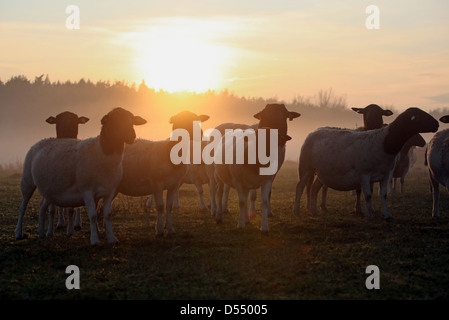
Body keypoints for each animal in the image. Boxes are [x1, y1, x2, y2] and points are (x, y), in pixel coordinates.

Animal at [14, 108, 145, 245]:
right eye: (115, 121)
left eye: (132, 120)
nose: (132, 136)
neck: (102, 152)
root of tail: (40, 141)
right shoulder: (86, 190)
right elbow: (93, 216)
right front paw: (95, 240)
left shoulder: (110, 191)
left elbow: (107, 215)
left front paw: (112, 238)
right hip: (27, 180)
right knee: (23, 206)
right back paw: (18, 233)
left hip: (49, 189)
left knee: (42, 206)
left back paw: (41, 233)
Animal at [212, 104, 300, 232]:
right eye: (264, 115)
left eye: (285, 115)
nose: (281, 138)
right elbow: (250, 196)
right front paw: (250, 214)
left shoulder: (272, 175)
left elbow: (266, 195)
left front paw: (267, 214)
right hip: (215, 173)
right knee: (218, 191)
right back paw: (218, 212)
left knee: (228, 189)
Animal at [294, 109, 438, 219]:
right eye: (419, 115)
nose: (437, 124)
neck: (384, 143)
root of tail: (314, 132)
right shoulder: (364, 174)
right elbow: (368, 195)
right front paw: (369, 216)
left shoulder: (385, 174)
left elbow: (383, 195)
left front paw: (386, 214)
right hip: (305, 166)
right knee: (300, 187)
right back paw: (297, 212)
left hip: (323, 172)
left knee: (314, 188)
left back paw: (314, 211)